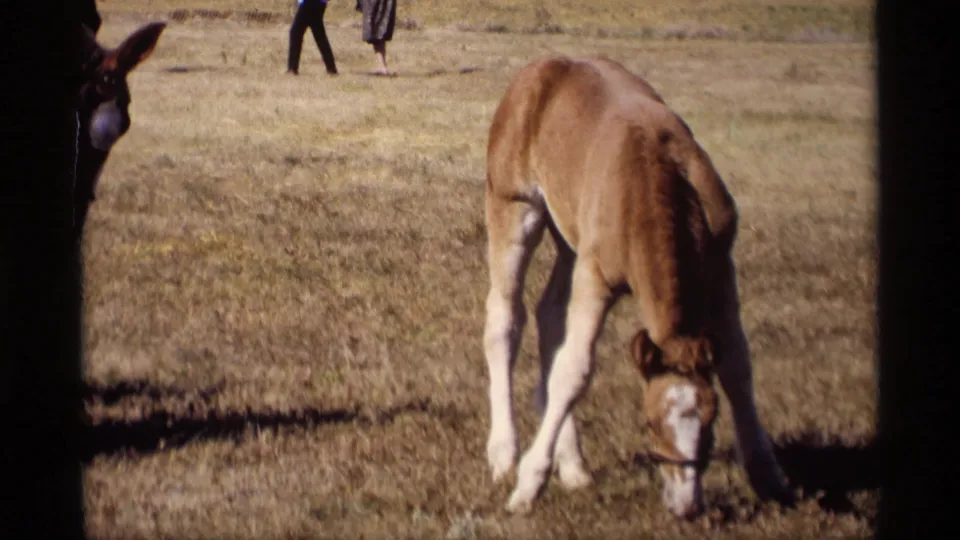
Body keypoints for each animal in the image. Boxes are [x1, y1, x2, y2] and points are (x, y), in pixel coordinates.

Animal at [481, 54, 793, 518]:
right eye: (649, 421)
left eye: (710, 419)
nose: (686, 506)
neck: (654, 176)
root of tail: (542, 67)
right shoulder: (596, 277)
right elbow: (574, 371)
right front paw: (528, 486)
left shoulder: (721, 266)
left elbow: (738, 366)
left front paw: (769, 477)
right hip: (515, 208)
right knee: (506, 320)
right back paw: (504, 454)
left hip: (570, 241)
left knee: (549, 316)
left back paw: (573, 466)